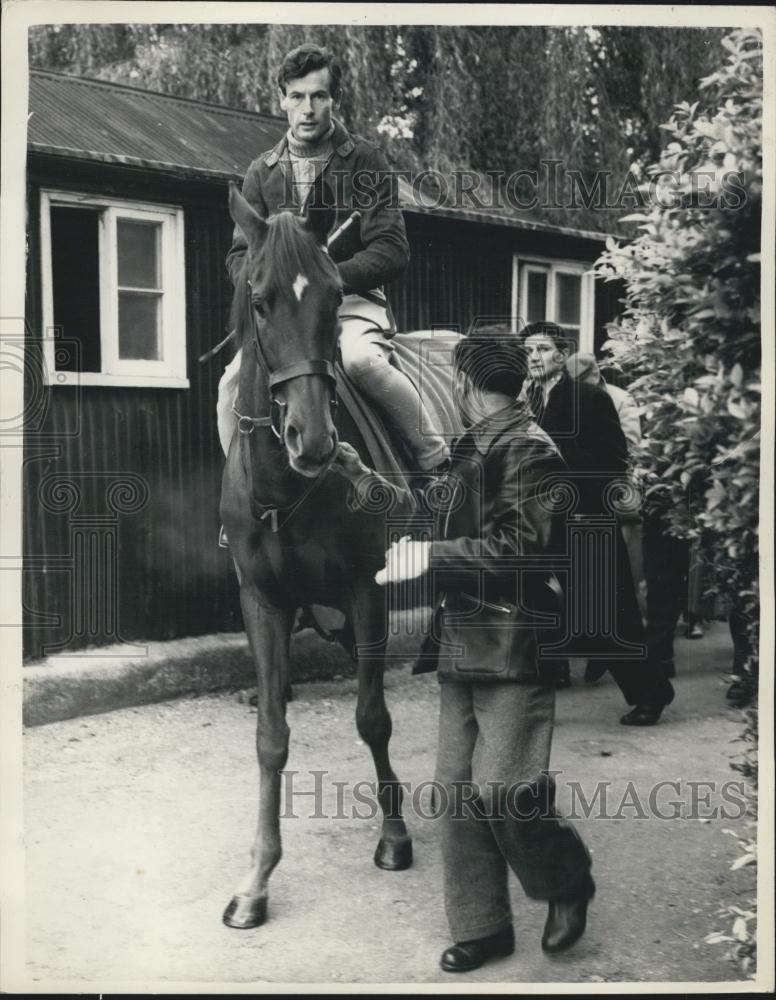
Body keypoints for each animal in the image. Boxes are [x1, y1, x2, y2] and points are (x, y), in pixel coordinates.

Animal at [221, 180, 458, 928]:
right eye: (259, 300)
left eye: (332, 297)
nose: (314, 439)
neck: (289, 485)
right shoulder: (262, 602)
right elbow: (270, 736)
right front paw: (257, 877)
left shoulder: (365, 589)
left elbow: (372, 718)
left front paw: (395, 836)